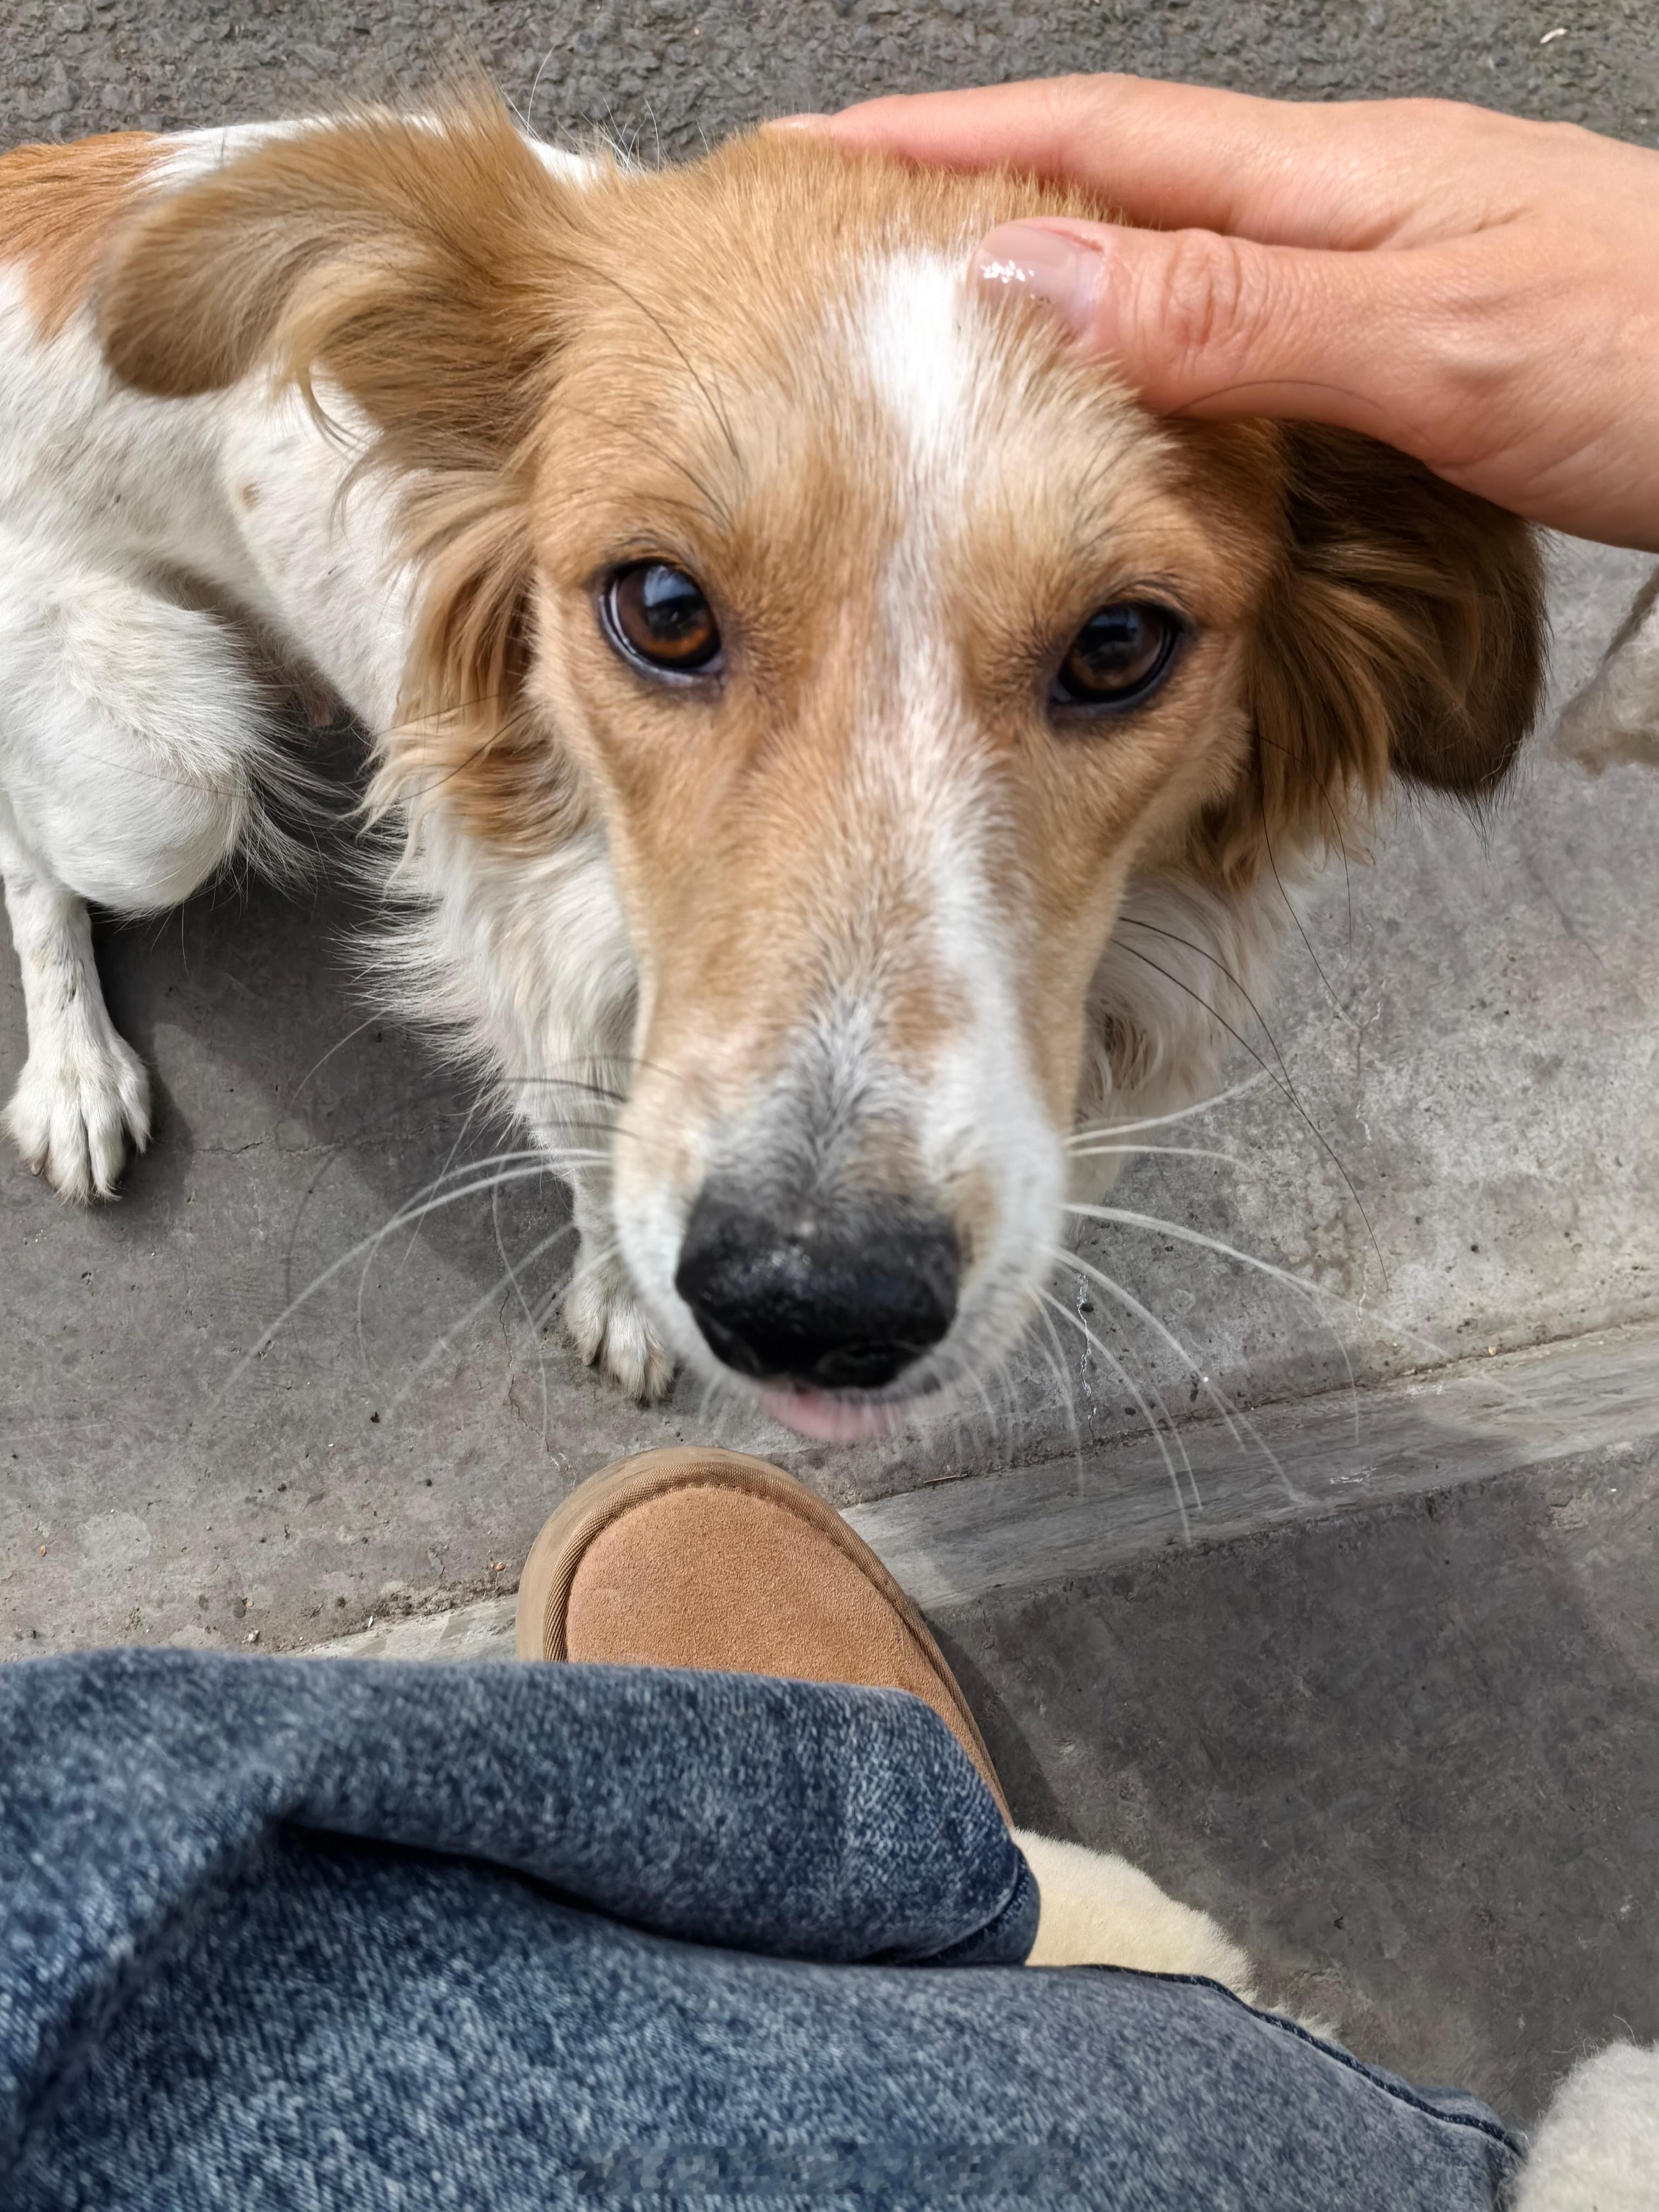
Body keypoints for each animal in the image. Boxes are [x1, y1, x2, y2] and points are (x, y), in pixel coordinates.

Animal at [0, 96, 1543, 1442]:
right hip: (166, 780)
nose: (812, 1304)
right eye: (662, 607)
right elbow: (591, 1159)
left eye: (1118, 643)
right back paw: (75, 1071)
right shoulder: (542, 968)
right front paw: (625, 1301)